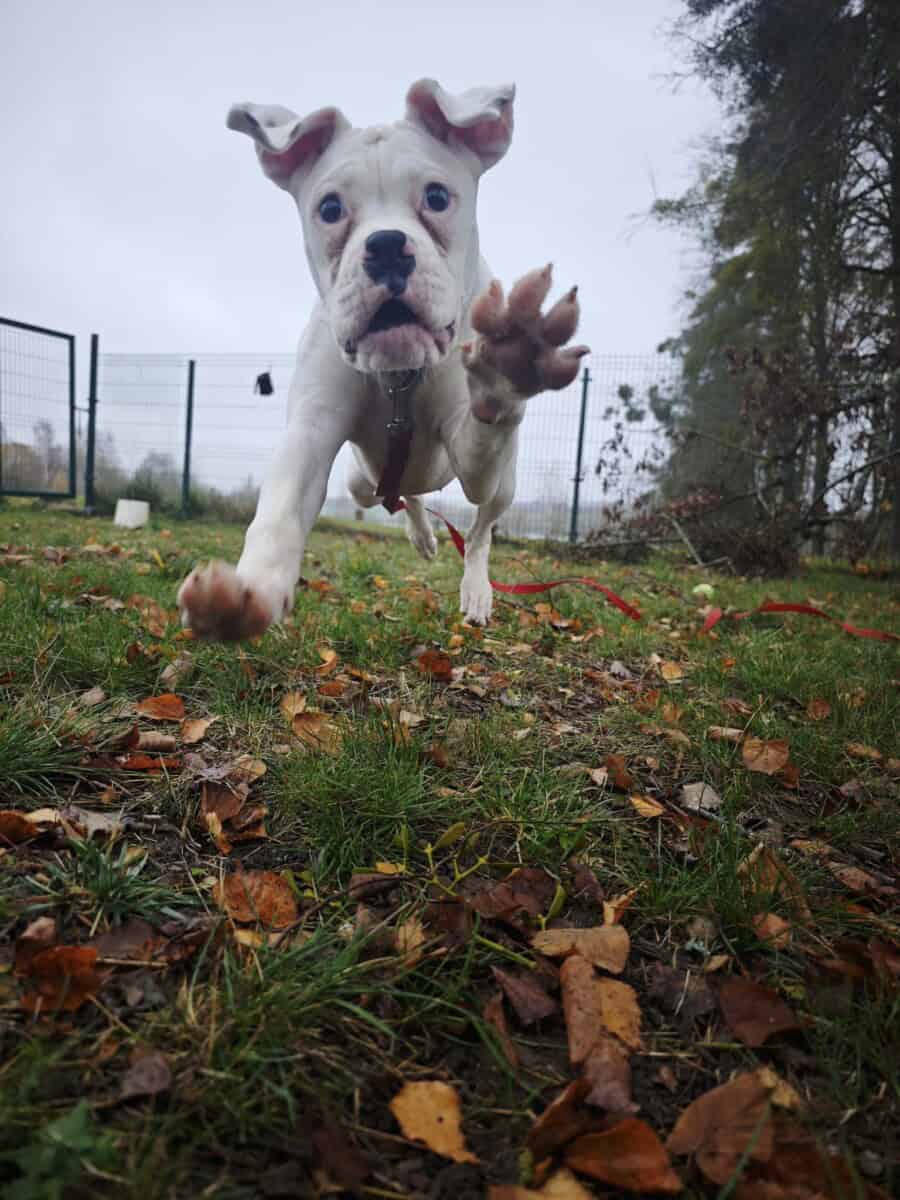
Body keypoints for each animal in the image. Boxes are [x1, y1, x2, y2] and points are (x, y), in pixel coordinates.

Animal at [177, 79, 587, 639]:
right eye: (330, 209)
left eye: (436, 197)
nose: (388, 245)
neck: (400, 377)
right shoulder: (311, 430)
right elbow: (280, 508)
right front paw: (247, 591)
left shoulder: (475, 455)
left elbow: (485, 437)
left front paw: (508, 361)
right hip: (361, 484)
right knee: (400, 495)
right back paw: (421, 533)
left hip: (505, 484)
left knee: (481, 526)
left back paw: (476, 588)